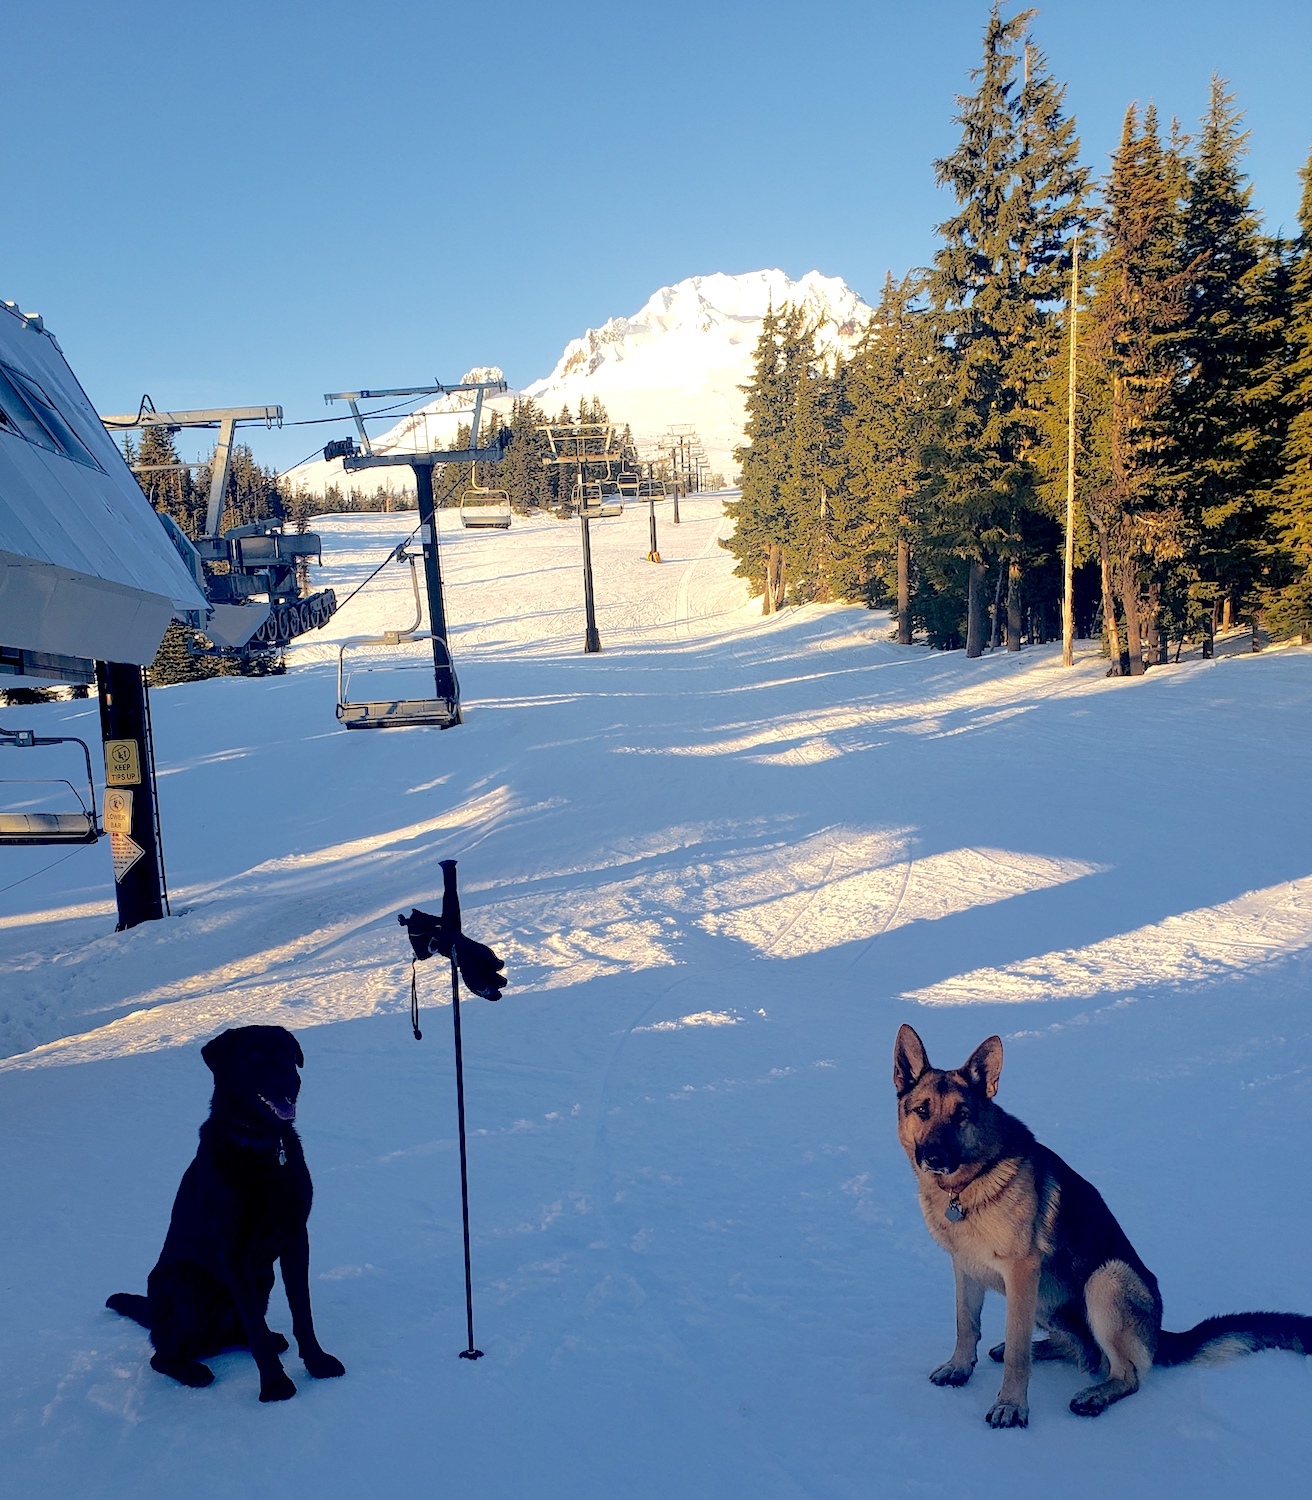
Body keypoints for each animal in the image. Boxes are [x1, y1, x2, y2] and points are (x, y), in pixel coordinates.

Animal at [107, 1026, 346, 1398]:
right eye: (254, 1057)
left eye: (287, 1052)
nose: (291, 1082)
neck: (261, 1146)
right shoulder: (233, 1252)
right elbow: (255, 1322)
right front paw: (275, 1386)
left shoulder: (295, 1237)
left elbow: (301, 1312)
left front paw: (317, 1363)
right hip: (186, 1284)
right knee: (162, 1355)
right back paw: (193, 1371)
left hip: (263, 1276)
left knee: (238, 1330)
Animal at [893, 1020, 1312, 1428]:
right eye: (922, 1111)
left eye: (961, 1115)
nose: (934, 1158)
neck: (967, 1183)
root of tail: (1159, 1333)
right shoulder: (965, 1266)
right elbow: (966, 1323)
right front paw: (960, 1367)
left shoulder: (1022, 1271)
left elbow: (1016, 1354)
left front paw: (1011, 1405)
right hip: (1048, 1297)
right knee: (1082, 1348)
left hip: (1105, 1279)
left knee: (1127, 1372)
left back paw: (1095, 1395)